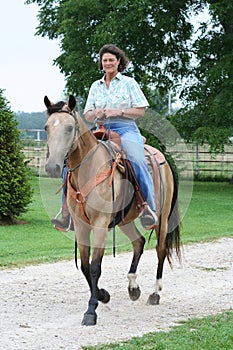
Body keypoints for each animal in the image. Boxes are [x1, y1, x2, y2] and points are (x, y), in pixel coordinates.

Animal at [44, 95, 182, 326]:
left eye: (69, 127)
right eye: (46, 127)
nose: (53, 167)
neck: (89, 169)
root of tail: (161, 157)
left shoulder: (100, 224)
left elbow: (95, 266)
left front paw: (91, 311)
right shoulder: (81, 226)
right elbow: (85, 266)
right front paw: (103, 295)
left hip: (162, 218)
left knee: (161, 249)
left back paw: (155, 293)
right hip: (125, 220)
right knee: (138, 242)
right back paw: (133, 287)